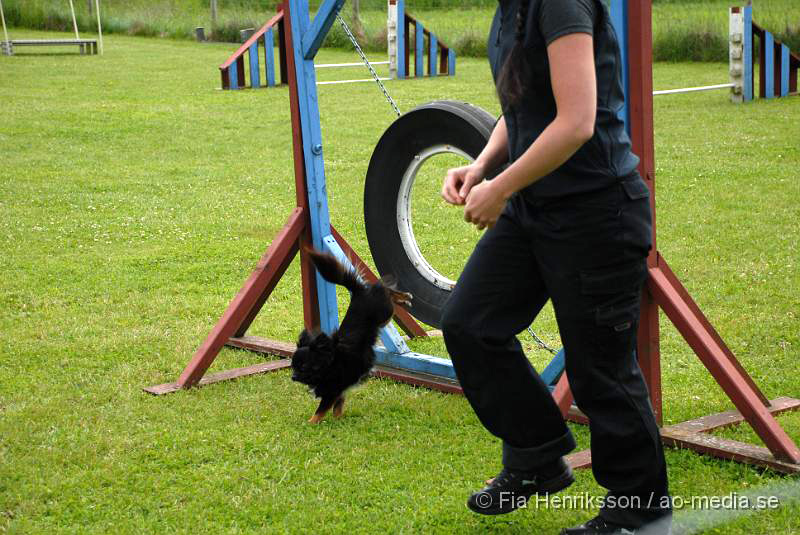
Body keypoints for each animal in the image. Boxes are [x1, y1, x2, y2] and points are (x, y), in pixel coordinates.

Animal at [290, 249, 412, 426]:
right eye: (292, 366)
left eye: (303, 367)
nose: (293, 377)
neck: (331, 362)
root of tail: (357, 292)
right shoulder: (339, 391)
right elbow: (338, 407)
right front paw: (338, 420)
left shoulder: (331, 391)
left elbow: (320, 410)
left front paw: (310, 422)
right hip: (383, 316)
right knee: (382, 289)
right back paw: (403, 298)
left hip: (384, 313)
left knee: (384, 289)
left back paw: (404, 297)